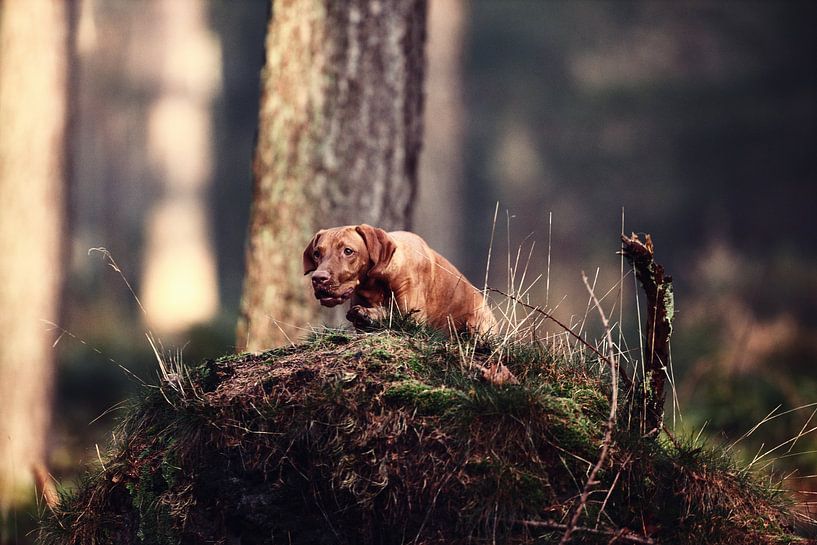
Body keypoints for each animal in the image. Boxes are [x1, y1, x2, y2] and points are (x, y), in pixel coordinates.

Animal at [302, 222, 498, 334]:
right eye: (317, 253)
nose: (318, 278)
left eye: (348, 251)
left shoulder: (413, 319)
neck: (376, 284)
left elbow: (392, 315)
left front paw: (368, 313)